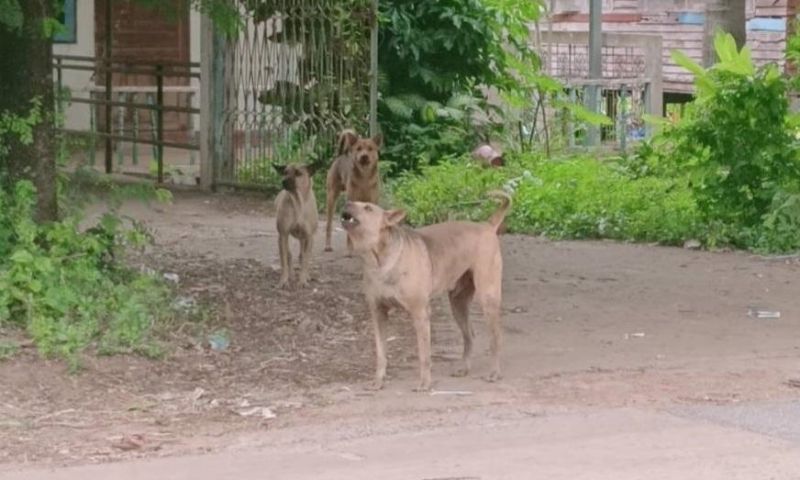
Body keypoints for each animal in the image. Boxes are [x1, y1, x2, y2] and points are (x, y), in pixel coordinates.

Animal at [340, 190, 512, 390]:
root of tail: (487, 225)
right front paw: (378, 381)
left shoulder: (420, 313)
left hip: (488, 298)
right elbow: (381, 353)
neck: (379, 262)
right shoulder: (378, 313)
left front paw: (424, 383)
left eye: (368, 208)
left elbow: (424, 354)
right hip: (458, 304)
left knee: (495, 338)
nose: (346, 202)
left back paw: (494, 373)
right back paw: (464, 368)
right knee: (469, 335)